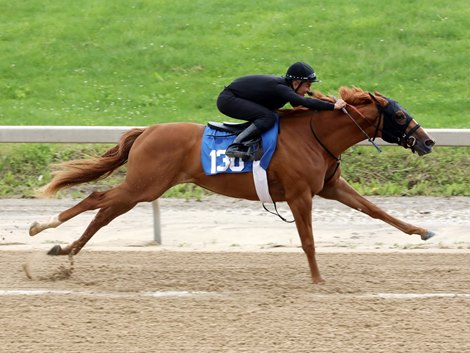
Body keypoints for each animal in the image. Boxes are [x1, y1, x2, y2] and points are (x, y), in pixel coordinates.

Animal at [29, 87, 436, 284]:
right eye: (400, 114)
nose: (428, 141)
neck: (314, 135)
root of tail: (148, 130)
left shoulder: (330, 187)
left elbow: (376, 210)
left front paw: (422, 231)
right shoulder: (300, 195)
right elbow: (308, 240)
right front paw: (319, 280)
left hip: (144, 188)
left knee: (104, 211)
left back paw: (63, 250)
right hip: (143, 186)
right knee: (98, 200)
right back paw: (42, 229)